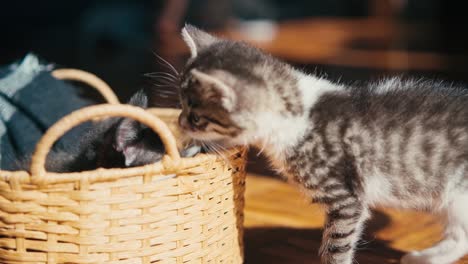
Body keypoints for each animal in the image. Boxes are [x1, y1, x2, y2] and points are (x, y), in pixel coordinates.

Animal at [176, 23, 468, 262]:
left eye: (196, 117)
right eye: (181, 103)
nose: (179, 122)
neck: (298, 113)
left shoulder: (346, 199)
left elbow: (336, 246)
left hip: (458, 195)